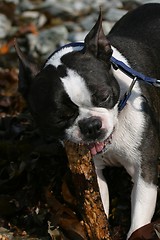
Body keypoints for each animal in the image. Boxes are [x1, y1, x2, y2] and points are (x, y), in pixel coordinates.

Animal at [14, 3, 160, 238]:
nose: (91, 125)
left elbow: (139, 221)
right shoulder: (93, 175)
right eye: (59, 118)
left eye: (104, 97)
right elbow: (98, 206)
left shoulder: (144, 173)